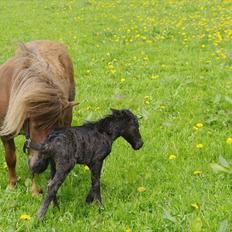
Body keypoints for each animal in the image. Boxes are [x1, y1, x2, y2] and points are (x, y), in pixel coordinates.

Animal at [0, 40, 76, 196]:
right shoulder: (6, 134)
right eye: (34, 125)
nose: (40, 166)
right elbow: (10, 158)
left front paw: (34, 191)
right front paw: (11, 185)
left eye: (55, 128)